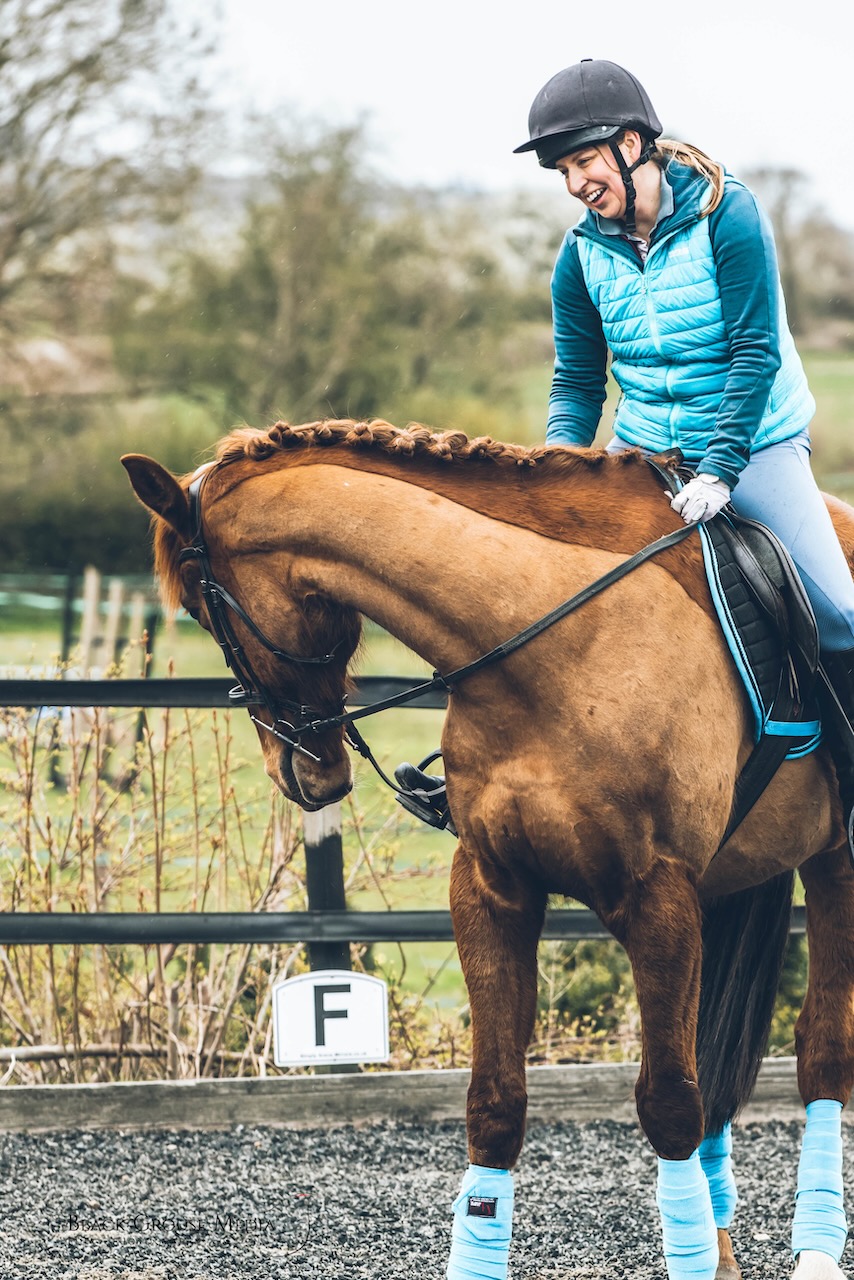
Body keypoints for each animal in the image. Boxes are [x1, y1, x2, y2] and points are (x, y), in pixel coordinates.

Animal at [121, 419, 854, 1280]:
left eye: (205, 612)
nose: (303, 773)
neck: (546, 634)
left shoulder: (658, 895)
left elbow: (670, 1103)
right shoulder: (491, 887)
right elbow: (496, 1105)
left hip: (834, 863)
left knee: (822, 1054)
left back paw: (812, 1252)